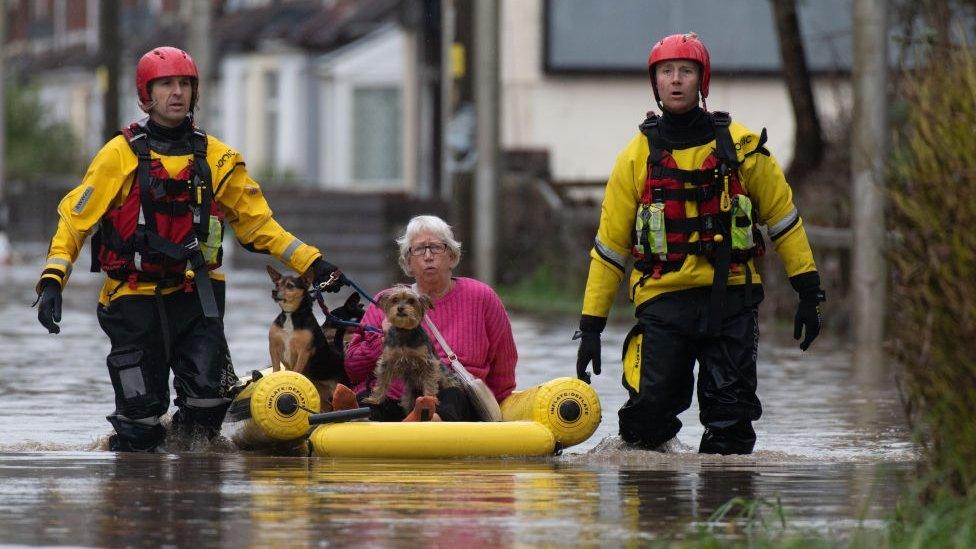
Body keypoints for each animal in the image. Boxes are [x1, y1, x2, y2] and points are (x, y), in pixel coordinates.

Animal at [268, 264, 352, 408]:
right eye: (277, 284)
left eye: (290, 285)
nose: (274, 291)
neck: (291, 315)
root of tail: (339, 353)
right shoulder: (273, 347)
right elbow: (276, 368)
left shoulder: (304, 351)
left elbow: (296, 370)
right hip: (321, 394)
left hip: (340, 386)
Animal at [364, 284, 460, 418]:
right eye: (395, 300)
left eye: (411, 301)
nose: (400, 308)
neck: (404, 331)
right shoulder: (387, 361)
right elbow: (382, 381)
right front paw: (375, 399)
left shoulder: (428, 362)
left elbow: (429, 382)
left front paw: (429, 399)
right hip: (409, 397)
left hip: (445, 376)